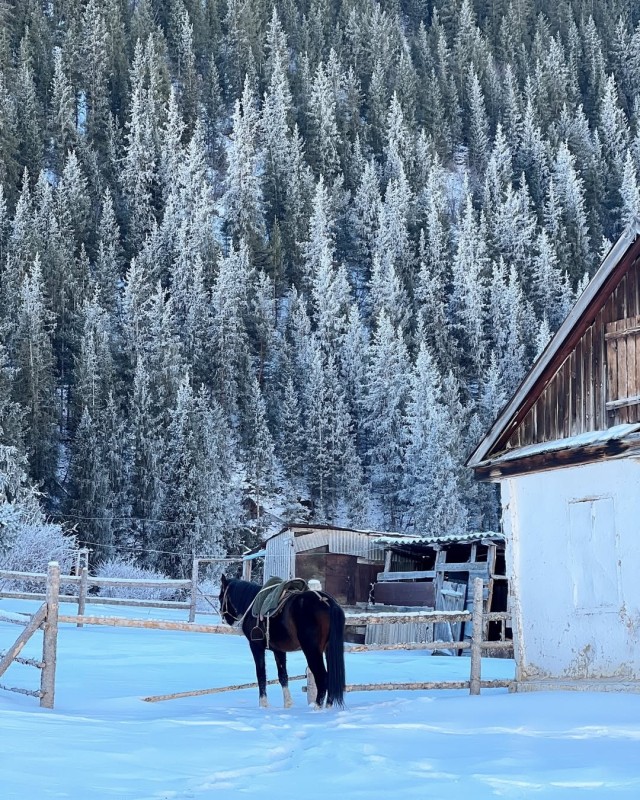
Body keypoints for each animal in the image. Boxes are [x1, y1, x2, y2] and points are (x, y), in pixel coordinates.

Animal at [218, 574, 346, 709]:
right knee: (331, 677)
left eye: (220, 597)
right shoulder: (279, 650)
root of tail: (327, 603)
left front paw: (263, 705)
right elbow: (283, 676)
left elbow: (261, 675)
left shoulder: (256, 646)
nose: (226, 619)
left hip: (312, 651)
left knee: (322, 677)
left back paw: (316, 707)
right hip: (328, 649)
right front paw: (288, 704)